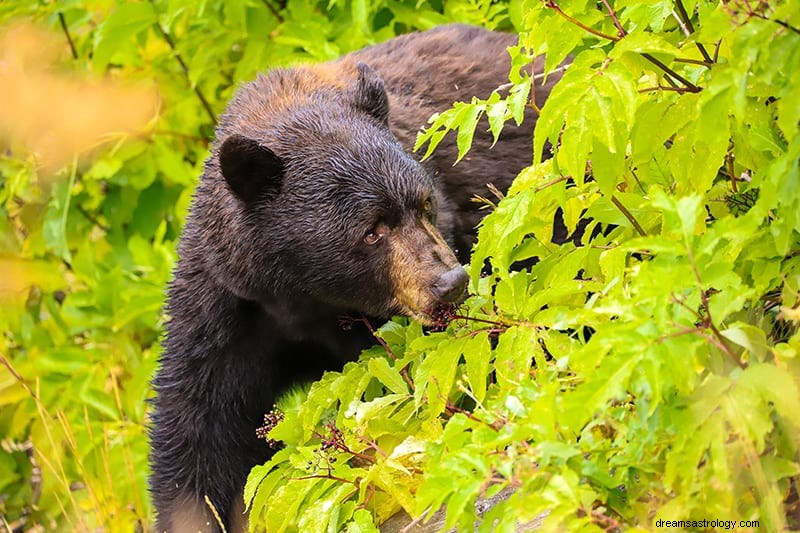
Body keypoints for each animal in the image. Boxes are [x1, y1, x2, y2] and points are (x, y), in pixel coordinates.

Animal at [152, 23, 564, 532]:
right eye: (371, 230)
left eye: (423, 202)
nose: (449, 281)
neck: (306, 297)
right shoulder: (228, 309)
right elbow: (198, 431)